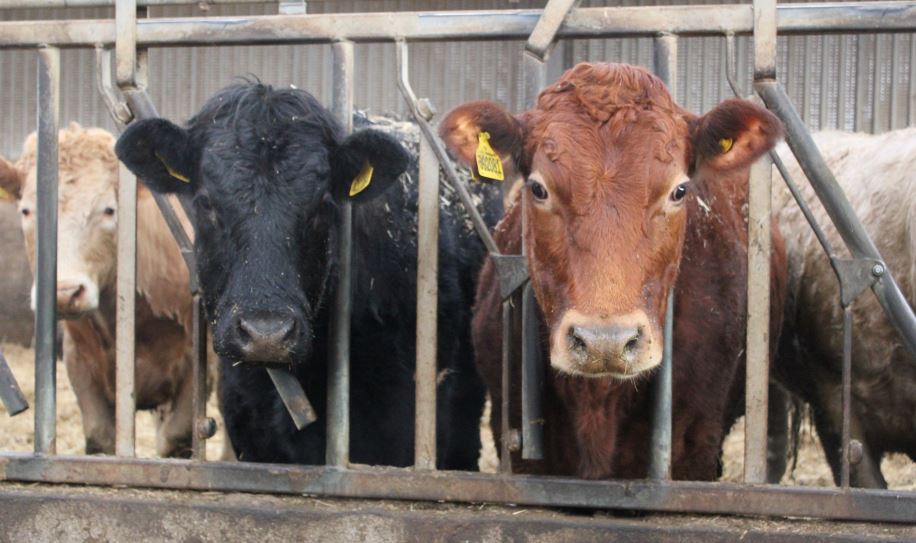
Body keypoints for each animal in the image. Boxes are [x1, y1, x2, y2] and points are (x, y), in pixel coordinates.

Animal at [0, 122, 200, 454]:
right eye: (26, 211)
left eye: (108, 210)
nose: (65, 293)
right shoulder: (78, 359)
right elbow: (99, 435)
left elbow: (177, 437)